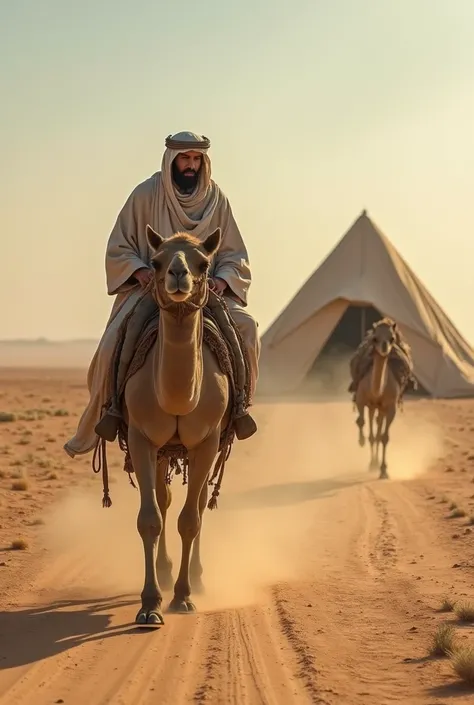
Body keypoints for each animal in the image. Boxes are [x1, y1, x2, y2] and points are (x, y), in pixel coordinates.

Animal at [122, 223, 231, 624]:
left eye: (204, 262)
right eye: (155, 261)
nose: (178, 274)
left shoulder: (207, 441)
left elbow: (191, 519)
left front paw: (183, 597)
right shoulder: (142, 438)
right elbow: (150, 519)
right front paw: (150, 603)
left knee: (196, 504)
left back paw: (196, 578)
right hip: (164, 451)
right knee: (165, 501)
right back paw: (166, 571)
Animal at [354, 318, 402, 478]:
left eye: (392, 338)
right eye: (374, 338)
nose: (384, 348)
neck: (377, 392)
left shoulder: (391, 407)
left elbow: (384, 437)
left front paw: (384, 470)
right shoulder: (361, 399)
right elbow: (361, 422)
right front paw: (361, 441)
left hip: (380, 409)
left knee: (378, 430)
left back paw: (375, 465)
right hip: (372, 407)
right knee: (372, 431)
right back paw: (372, 463)